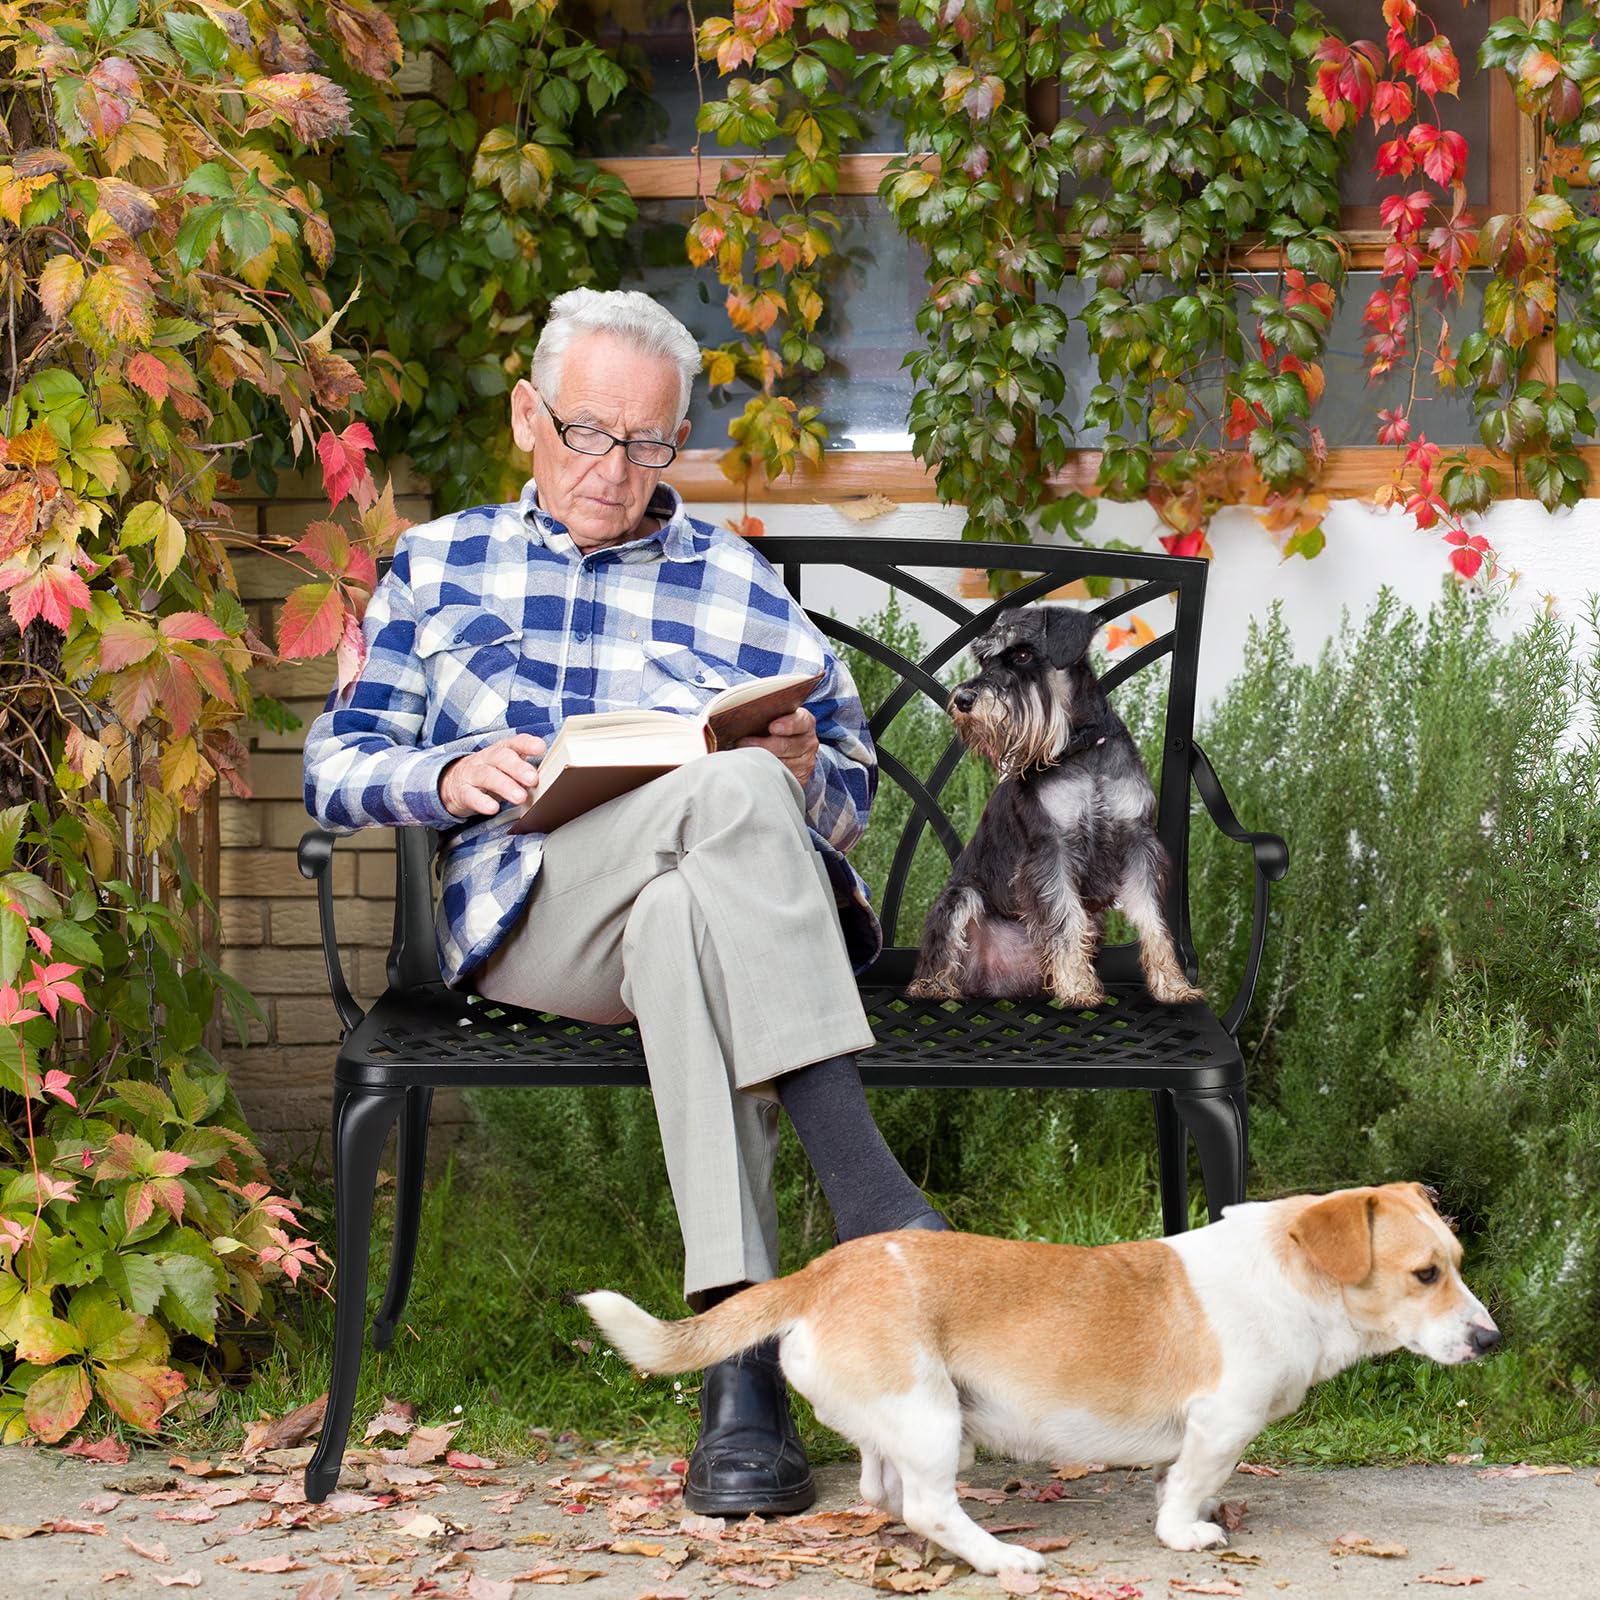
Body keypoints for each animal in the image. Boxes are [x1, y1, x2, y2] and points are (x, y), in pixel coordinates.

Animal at [585, 1190, 1497, 1574]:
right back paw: (1003, 1559)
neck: (1291, 1272)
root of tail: (818, 1274)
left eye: (1455, 1263)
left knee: (884, 1491)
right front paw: (1187, 1533)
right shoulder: (1219, 1426)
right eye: (1424, 1274)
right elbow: (1185, 1488)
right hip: (931, 1419)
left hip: (910, 1421)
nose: (1492, 1340)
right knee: (926, 1506)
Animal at [915, 604, 1203, 1004]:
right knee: (940, 950)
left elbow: (1153, 919)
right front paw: (1078, 988)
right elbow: (1064, 918)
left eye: (1022, 655)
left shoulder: (1137, 840)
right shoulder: (1052, 847)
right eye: (984, 659)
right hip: (961, 896)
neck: (1082, 747)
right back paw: (934, 985)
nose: (963, 700)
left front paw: (1172, 985)